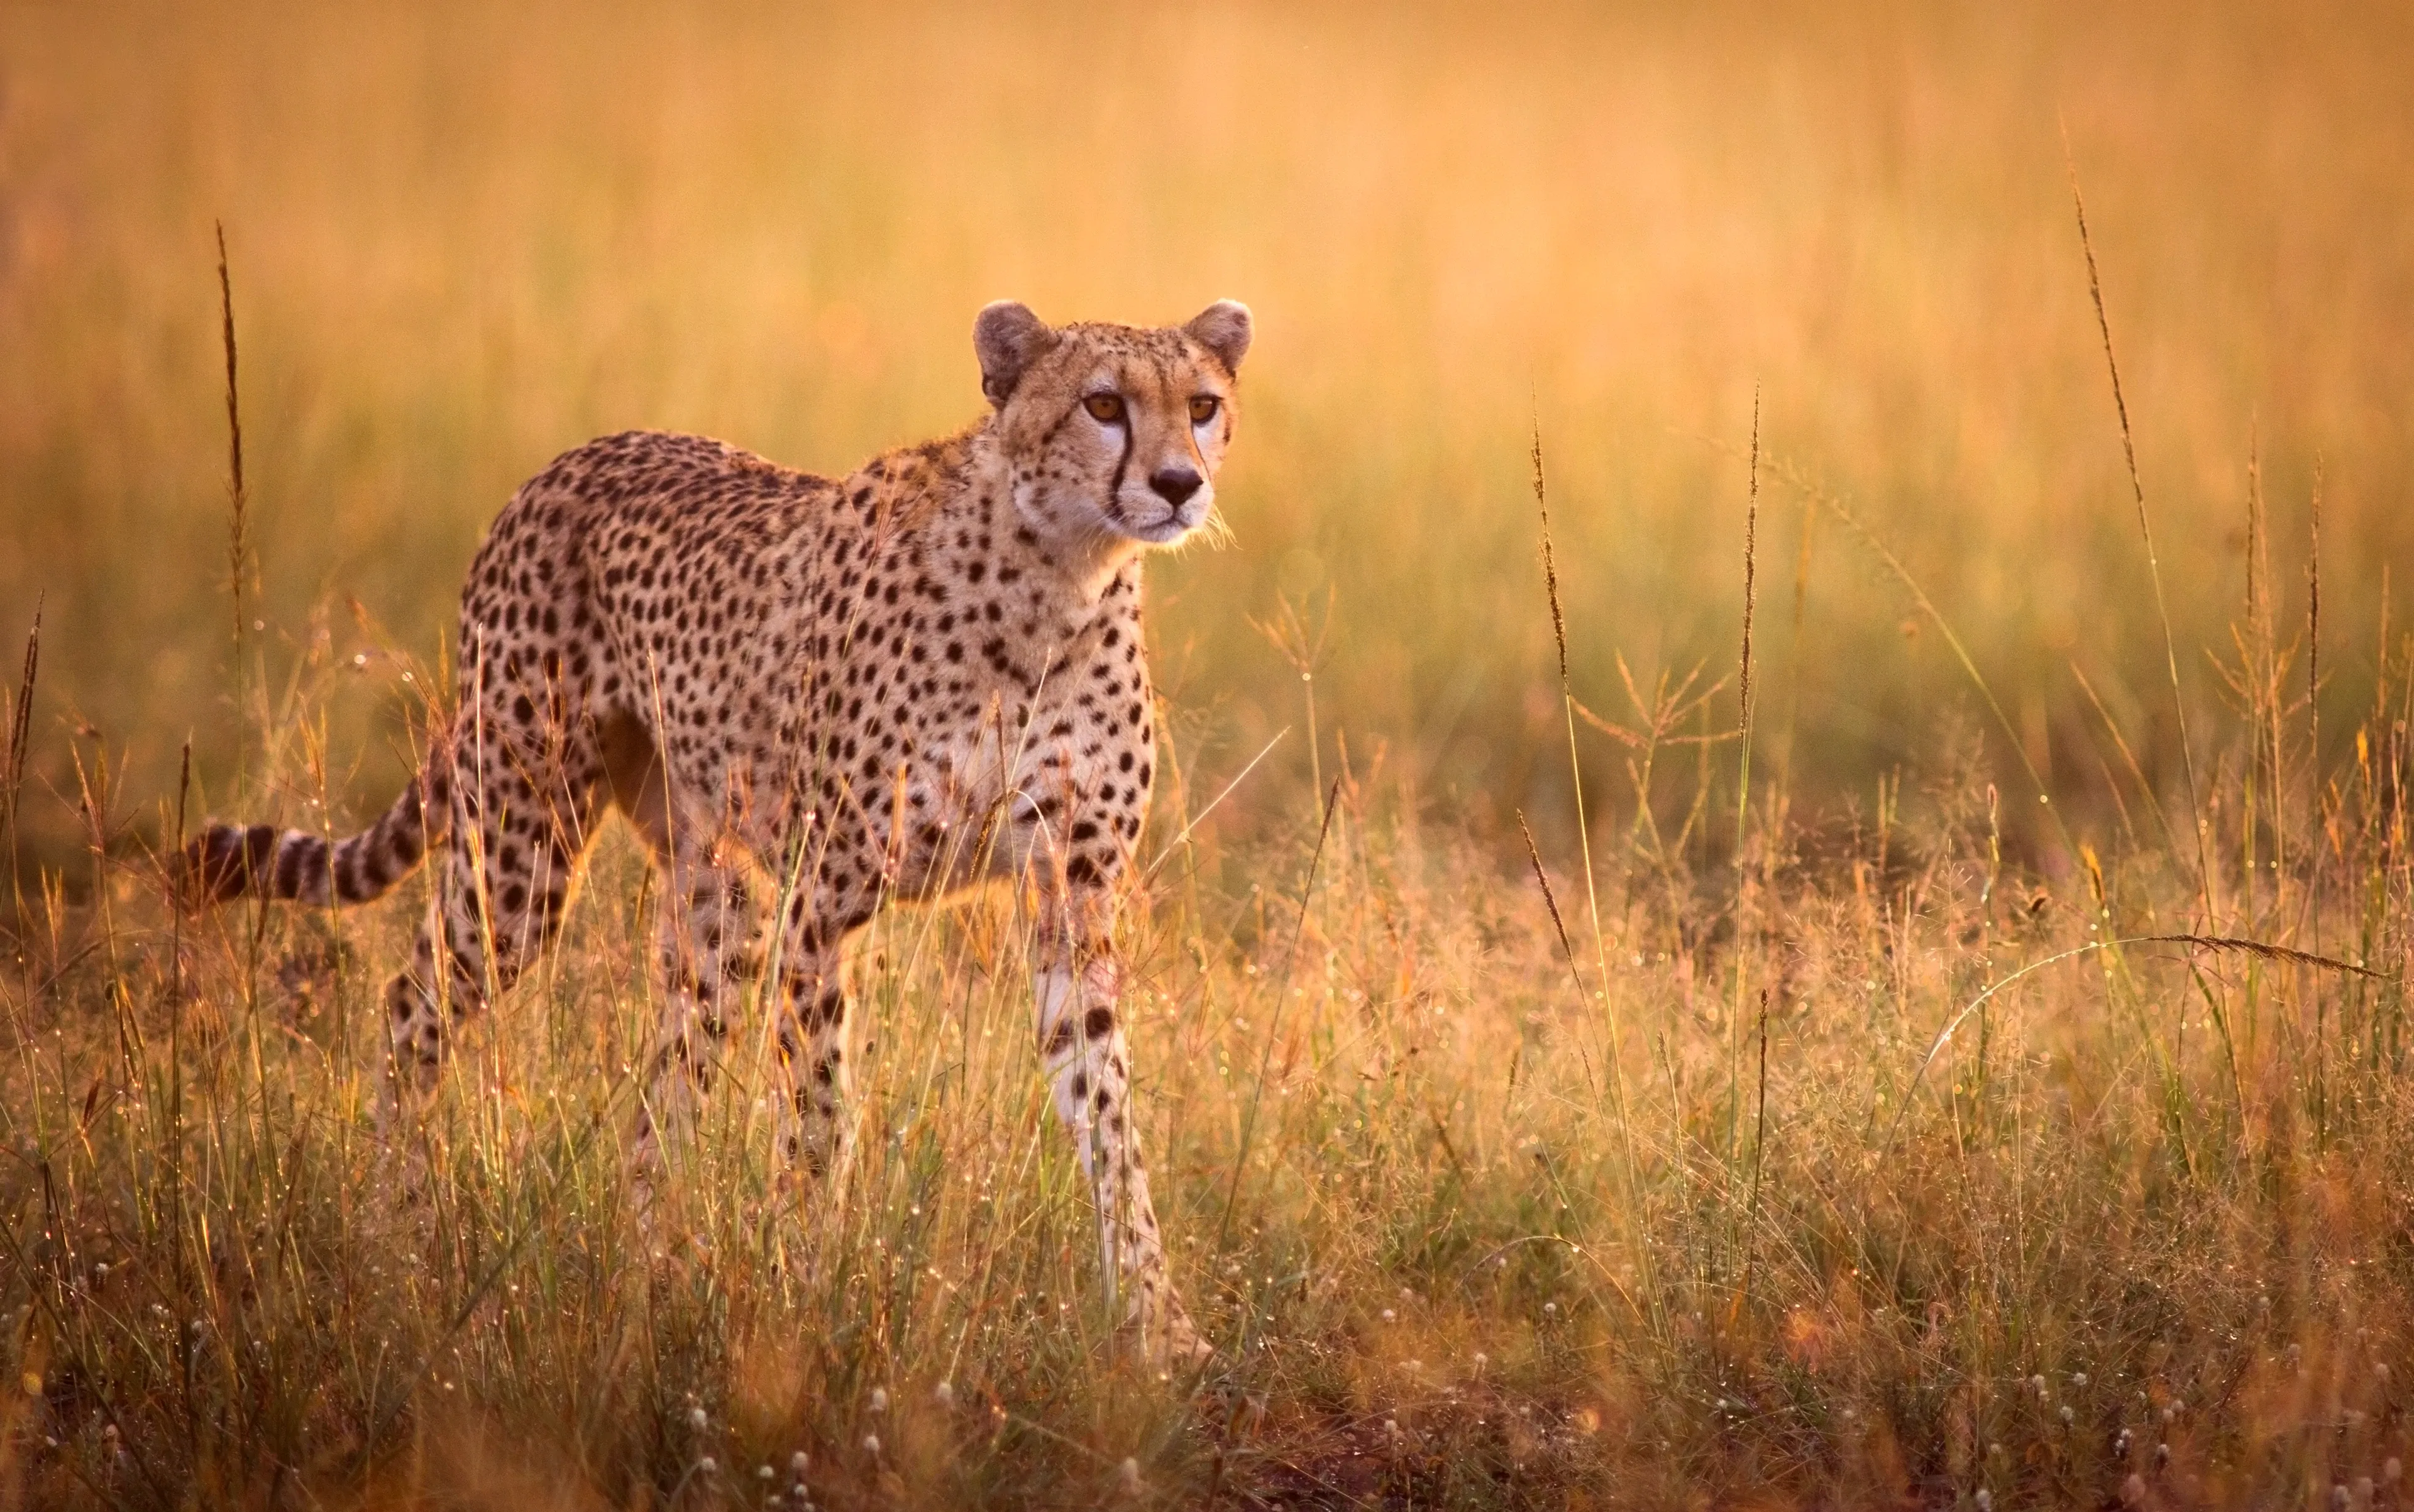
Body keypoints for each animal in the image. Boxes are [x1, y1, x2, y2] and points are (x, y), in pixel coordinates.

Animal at [177, 298, 1253, 1363]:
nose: (1178, 484)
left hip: (718, 904)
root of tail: (573, 457)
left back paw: (653, 1270)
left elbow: (1108, 1118)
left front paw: (1159, 1325)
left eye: (1201, 405)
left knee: (664, 1090)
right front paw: (814, 1296)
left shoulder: (1073, 897)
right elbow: (820, 1120)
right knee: (413, 1005)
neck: (1058, 577)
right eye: (1103, 404)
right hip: (521, 851)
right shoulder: (824, 901)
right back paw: (392, 1232)